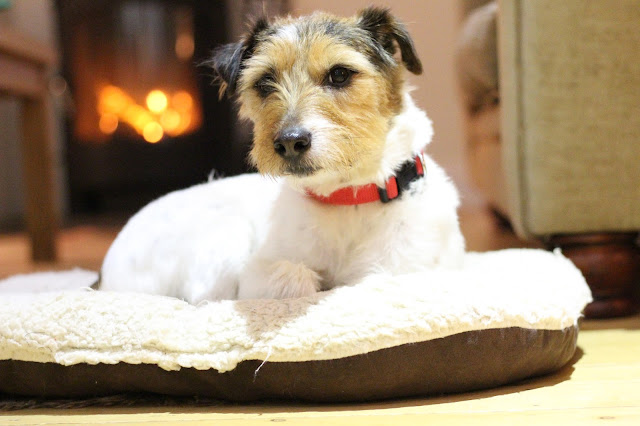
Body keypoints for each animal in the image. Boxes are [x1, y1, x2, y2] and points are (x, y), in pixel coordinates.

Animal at [97, 5, 462, 300]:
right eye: (264, 81)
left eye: (340, 74)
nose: (289, 141)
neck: (348, 198)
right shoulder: (256, 275)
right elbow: (297, 278)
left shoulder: (401, 273)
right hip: (221, 240)